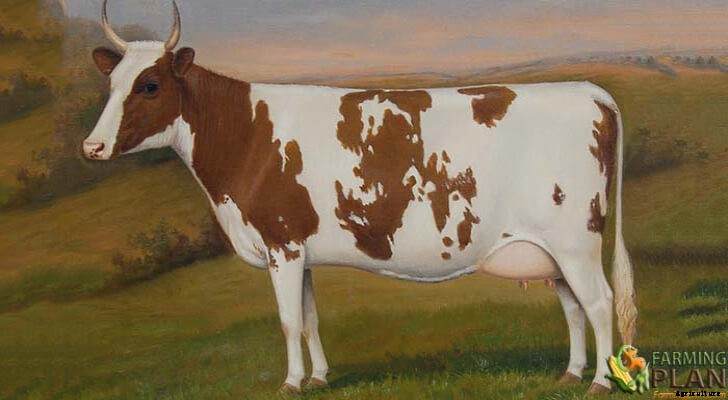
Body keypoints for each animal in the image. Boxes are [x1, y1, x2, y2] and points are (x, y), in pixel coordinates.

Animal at [83, 1, 638, 394]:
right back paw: (570, 374)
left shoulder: (282, 243)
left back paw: (600, 382)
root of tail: (588, 90)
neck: (244, 134)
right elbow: (309, 318)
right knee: (573, 306)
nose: (92, 147)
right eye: (112, 83)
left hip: (575, 240)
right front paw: (319, 377)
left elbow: (288, 320)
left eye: (150, 85)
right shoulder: (299, 250)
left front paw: (290, 384)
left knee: (599, 301)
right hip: (548, 248)